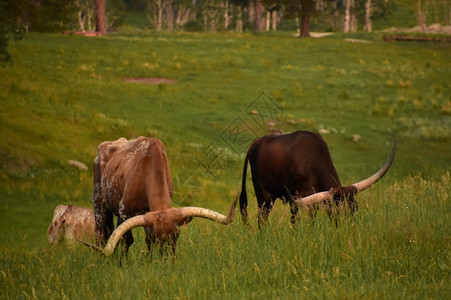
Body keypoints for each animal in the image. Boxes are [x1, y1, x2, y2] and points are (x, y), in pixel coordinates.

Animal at [92, 137, 240, 254]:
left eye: (177, 234)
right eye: (158, 236)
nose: (168, 258)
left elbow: (148, 242)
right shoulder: (125, 212)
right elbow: (127, 241)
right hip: (99, 202)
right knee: (101, 234)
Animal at [238, 130, 398, 226]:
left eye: (355, 208)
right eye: (338, 210)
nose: (350, 229)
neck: (312, 159)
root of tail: (257, 142)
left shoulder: (313, 200)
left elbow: (312, 218)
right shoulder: (295, 198)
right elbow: (295, 221)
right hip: (262, 194)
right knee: (262, 218)